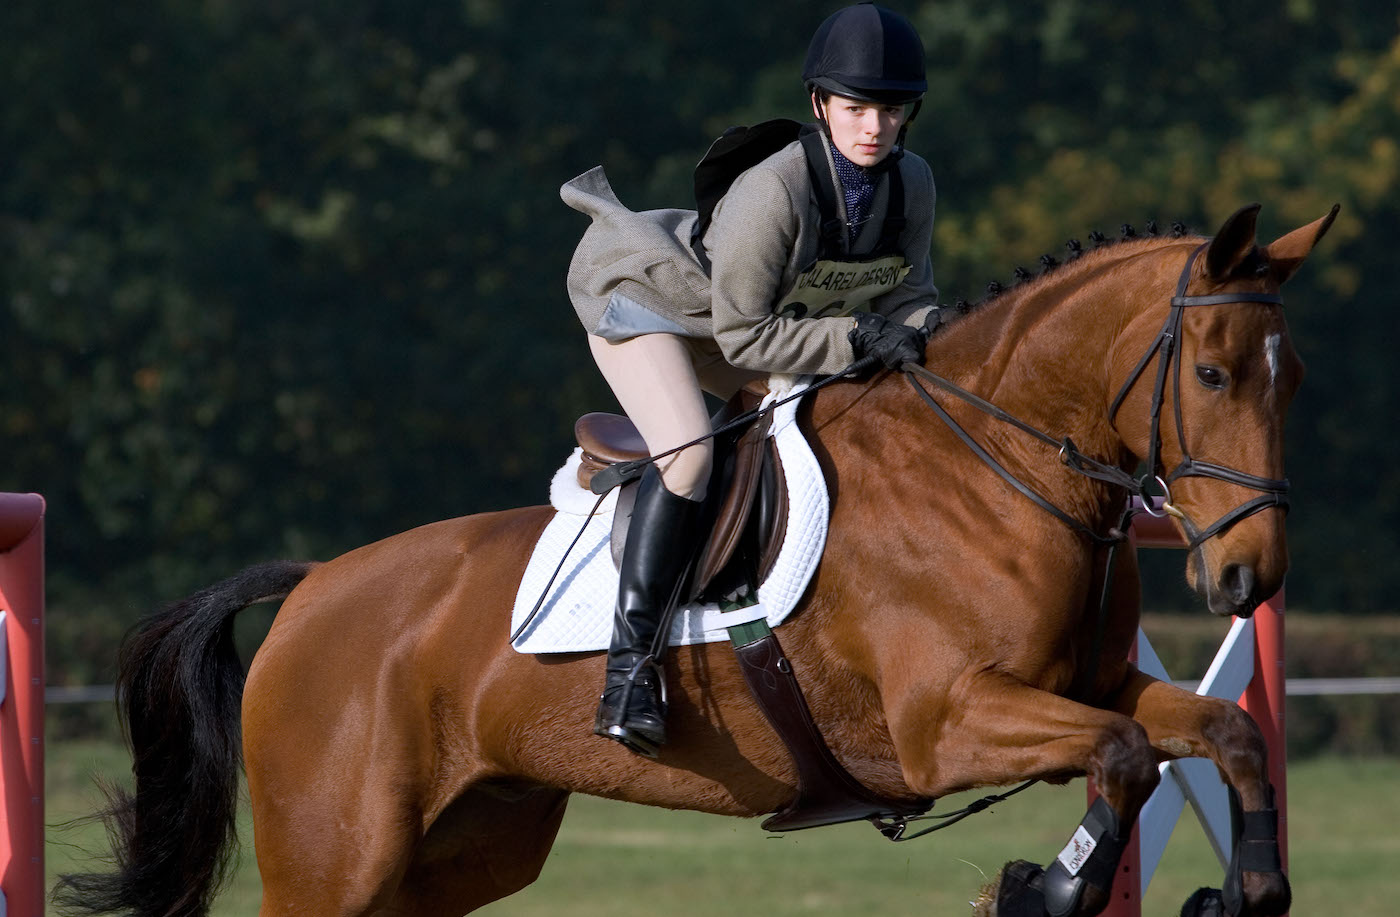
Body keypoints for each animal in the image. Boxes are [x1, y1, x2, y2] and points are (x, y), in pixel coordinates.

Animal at [55, 203, 1336, 917]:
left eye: (1292, 383)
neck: (996, 465)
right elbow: (1120, 756)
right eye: (1211, 373)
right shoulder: (949, 720)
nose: (1247, 580)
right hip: (334, 859)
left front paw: (1250, 887)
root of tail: (313, 586)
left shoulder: (1089, 683)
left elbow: (1218, 732)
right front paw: (1039, 887)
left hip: (463, 848)